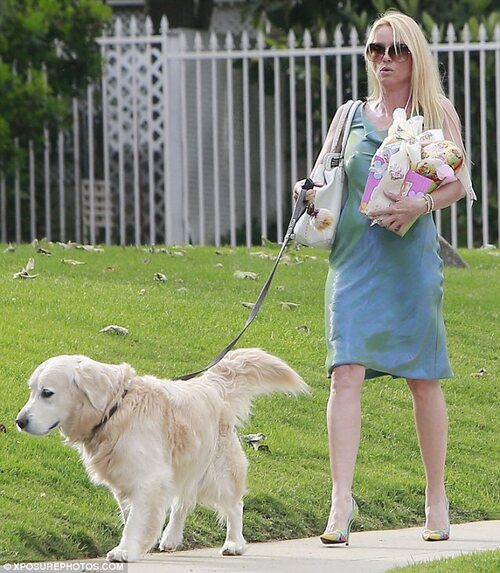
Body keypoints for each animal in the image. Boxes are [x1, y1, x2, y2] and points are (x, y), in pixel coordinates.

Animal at [15, 346, 308, 560]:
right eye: (32, 391)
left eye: (47, 393)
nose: (19, 421)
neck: (115, 409)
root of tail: (210, 384)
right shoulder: (126, 477)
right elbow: (131, 515)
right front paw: (135, 544)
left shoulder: (148, 479)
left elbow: (136, 519)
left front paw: (125, 550)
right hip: (184, 466)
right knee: (183, 502)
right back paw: (171, 538)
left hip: (218, 470)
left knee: (234, 505)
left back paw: (234, 543)